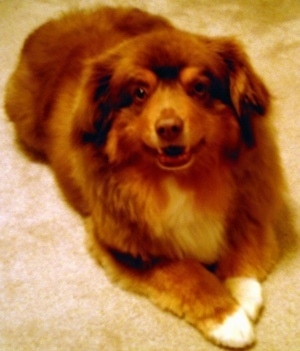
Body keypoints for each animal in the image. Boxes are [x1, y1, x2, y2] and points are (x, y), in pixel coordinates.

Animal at [5, 6, 286, 350]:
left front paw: (241, 295)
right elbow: (187, 273)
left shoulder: (252, 204)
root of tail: (54, 23)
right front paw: (228, 318)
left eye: (200, 88)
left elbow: (242, 248)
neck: (185, 178)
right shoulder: (123, 244)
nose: (168, 128)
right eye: (139, 93)